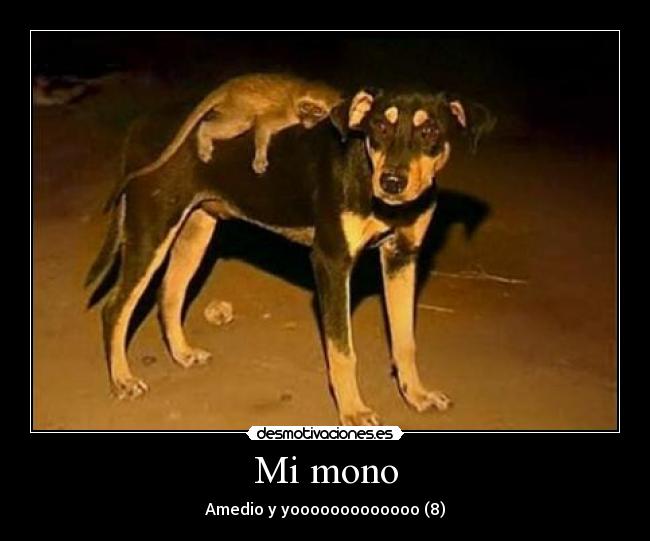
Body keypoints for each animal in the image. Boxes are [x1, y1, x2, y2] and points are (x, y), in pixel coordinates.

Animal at [127, 73, 342, 180]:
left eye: (317, 111)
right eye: (306, 107)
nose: (308, 120)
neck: (297, 96)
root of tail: (229, 85)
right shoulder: (287, 113)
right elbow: (264, 123)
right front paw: (260, 158)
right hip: (239, 103)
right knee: (239, 121)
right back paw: (204, 136)